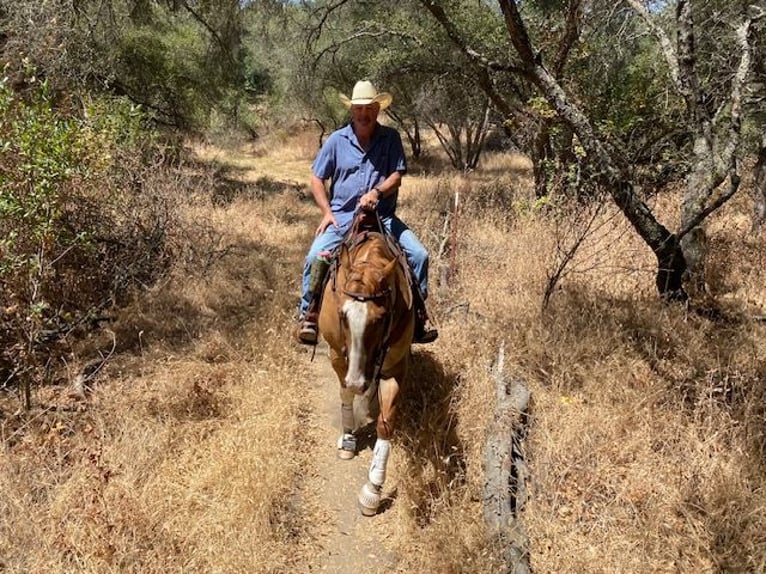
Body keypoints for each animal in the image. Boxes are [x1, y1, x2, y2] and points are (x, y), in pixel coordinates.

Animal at [316, 224, 414, 516]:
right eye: (342, 315)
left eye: (380, 319)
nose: (358, 382)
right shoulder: (338, 356)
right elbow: (345, 394)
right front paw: (348, 439)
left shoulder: (395, 366)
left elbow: (385, 423)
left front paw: (372, 490)